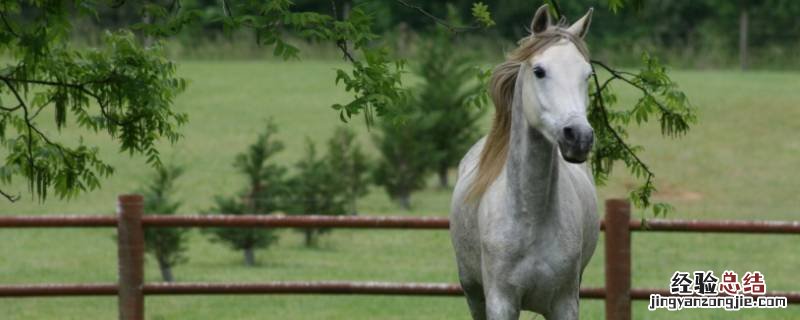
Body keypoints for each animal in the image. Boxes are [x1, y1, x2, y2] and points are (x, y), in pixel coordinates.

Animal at [450, 5, 600, 320]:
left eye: (587, 74)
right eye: (539, 71)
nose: (579, 137)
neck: (531, 220)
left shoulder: (565, 303)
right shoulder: (501, 302)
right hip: (473, 294)